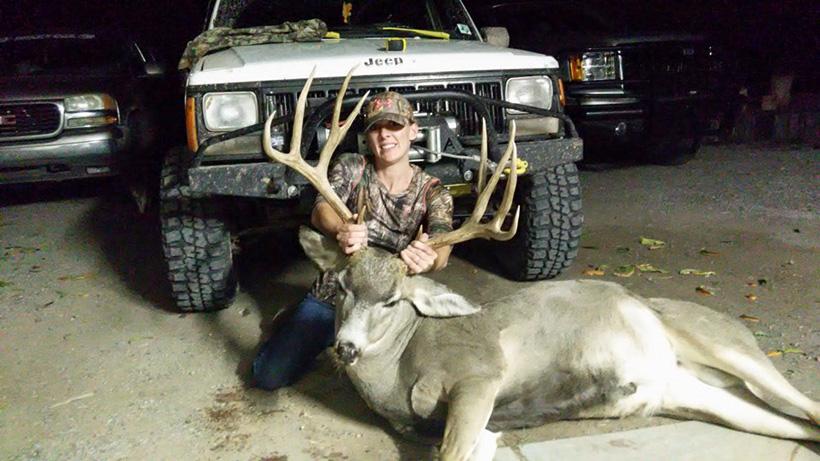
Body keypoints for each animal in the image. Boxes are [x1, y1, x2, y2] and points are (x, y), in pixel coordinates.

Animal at [261, 69, 820, 461]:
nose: (346, 348)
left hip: (725, 343)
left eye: (393, 299)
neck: (401, 368)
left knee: (804, 404)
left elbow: (452, 447)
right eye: (342, 285)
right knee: (798, 424)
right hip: (685, 389)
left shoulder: (479, 373)